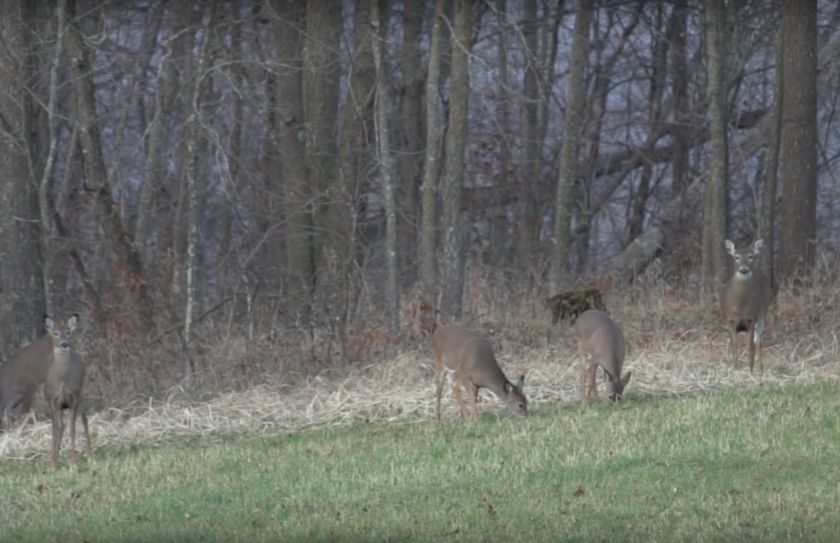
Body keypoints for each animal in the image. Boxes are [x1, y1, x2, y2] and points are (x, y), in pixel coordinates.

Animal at [0, 314, 92, 468]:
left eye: (69, 332)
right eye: (55, 333)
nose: (64, 344)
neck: (61, 380)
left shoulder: (72, 398)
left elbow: (72, 429)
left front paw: (73, 464)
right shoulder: (52, 400)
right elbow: (56, 428)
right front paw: (53, 464)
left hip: (80, 394)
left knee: (84, 419)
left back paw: (91, 456)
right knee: (59, 425)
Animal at [720, 239, 776, 374]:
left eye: (750, 256)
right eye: (737, 257)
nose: (744, 270)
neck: (739, 305)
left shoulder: (751, 319)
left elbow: (750, 348)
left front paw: (750, 371)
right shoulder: (730, 320)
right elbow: (735, 347)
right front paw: (734, 369)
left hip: (763, 314)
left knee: (758, 341)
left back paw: (760, 368)